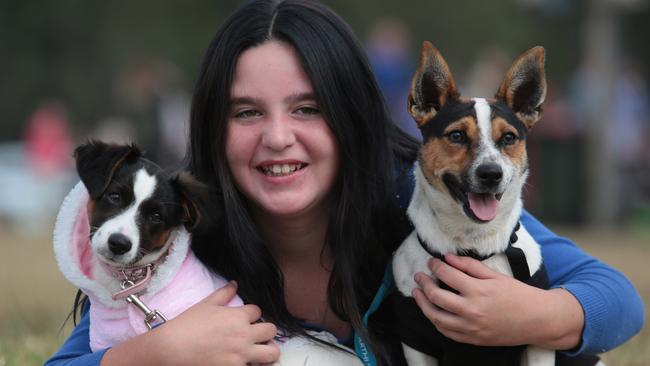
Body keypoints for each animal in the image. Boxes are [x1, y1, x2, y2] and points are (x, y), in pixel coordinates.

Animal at [390, 41, 552, 364]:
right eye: (456, 135)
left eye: (509, 138)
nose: (491, 173)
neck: (472, 245)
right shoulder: (416, 340)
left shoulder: (539, 343)